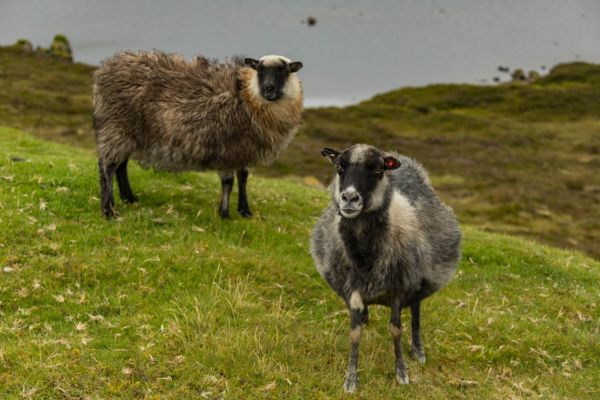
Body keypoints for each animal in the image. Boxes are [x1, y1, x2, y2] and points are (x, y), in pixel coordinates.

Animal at [92, 52, 303, 218]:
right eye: (259, 70)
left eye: (284, 71)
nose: (268, 89)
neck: (246, 98)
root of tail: (104, 70)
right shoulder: (227, 149)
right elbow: (228, 182)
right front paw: (224, 214)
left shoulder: (242, 148)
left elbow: (243, 177)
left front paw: (244, 210)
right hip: (116, 128)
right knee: (107, 167)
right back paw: (108, 210)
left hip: (129, 134)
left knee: (121, 166)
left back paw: (129, 198)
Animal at [310, 144, 461, 392]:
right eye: (339, 167)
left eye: (378, 170)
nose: (349, 197)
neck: (365, 254)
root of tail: (398, 156)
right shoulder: (353, 287)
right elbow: (354, 333)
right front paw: (351, 379)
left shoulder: (398, 288)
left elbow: (395, 330)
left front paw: (401, 373)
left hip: (419, 278)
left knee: (416, 310)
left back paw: (418, 350)